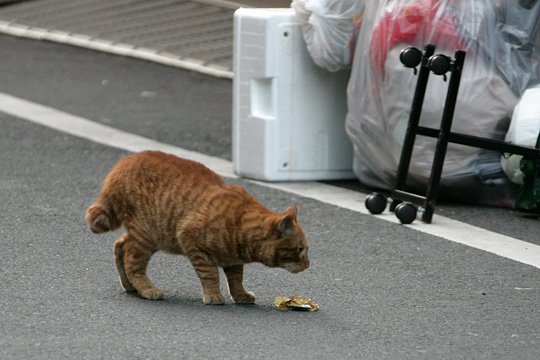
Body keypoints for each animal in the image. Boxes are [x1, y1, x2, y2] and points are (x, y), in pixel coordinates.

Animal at [86, 150, 310, 306]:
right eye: (300, 249)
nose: (308, 265)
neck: (240, 227)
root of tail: (124, 162)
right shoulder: (192, 243)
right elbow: (210, 274)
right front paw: (213, 294)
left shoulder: (233, 261)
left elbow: (236, 279)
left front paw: (240, 295)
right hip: (145, 237)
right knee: (133, 263)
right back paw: (147, 289)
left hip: (142, 234)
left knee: (119, 246)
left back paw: (129, 286)